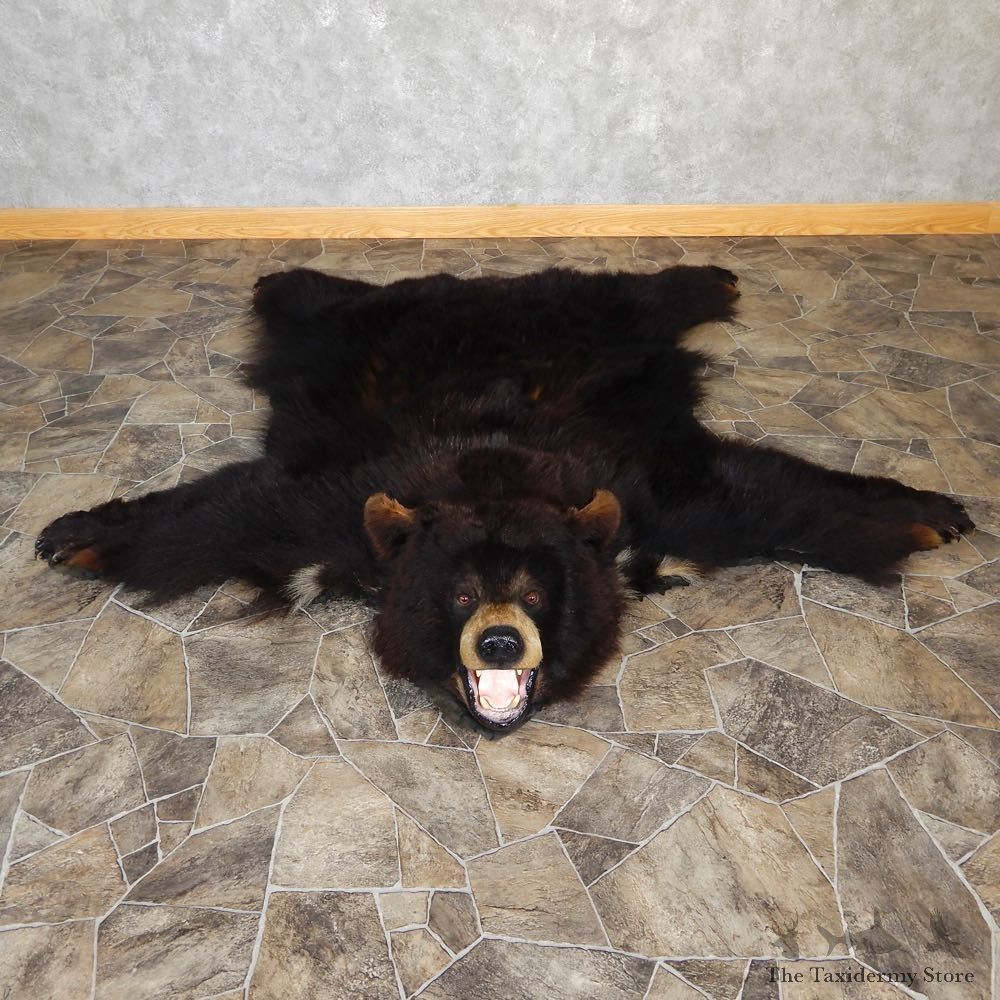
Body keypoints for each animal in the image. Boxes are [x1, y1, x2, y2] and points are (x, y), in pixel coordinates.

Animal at [35, 263, 974, 732]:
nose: (497, 640)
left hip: (589, 316)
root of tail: (484, 286)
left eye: (536, 590)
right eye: (455, 594)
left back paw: (711, 274)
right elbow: (229, 514)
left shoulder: (649, 489)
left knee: (637, 288)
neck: (493, 475)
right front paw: (80, 530)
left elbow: (766, 496)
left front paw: (925, 510)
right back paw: (282, 275)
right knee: (320, 299)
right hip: (371, 327)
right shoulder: (342, 497)